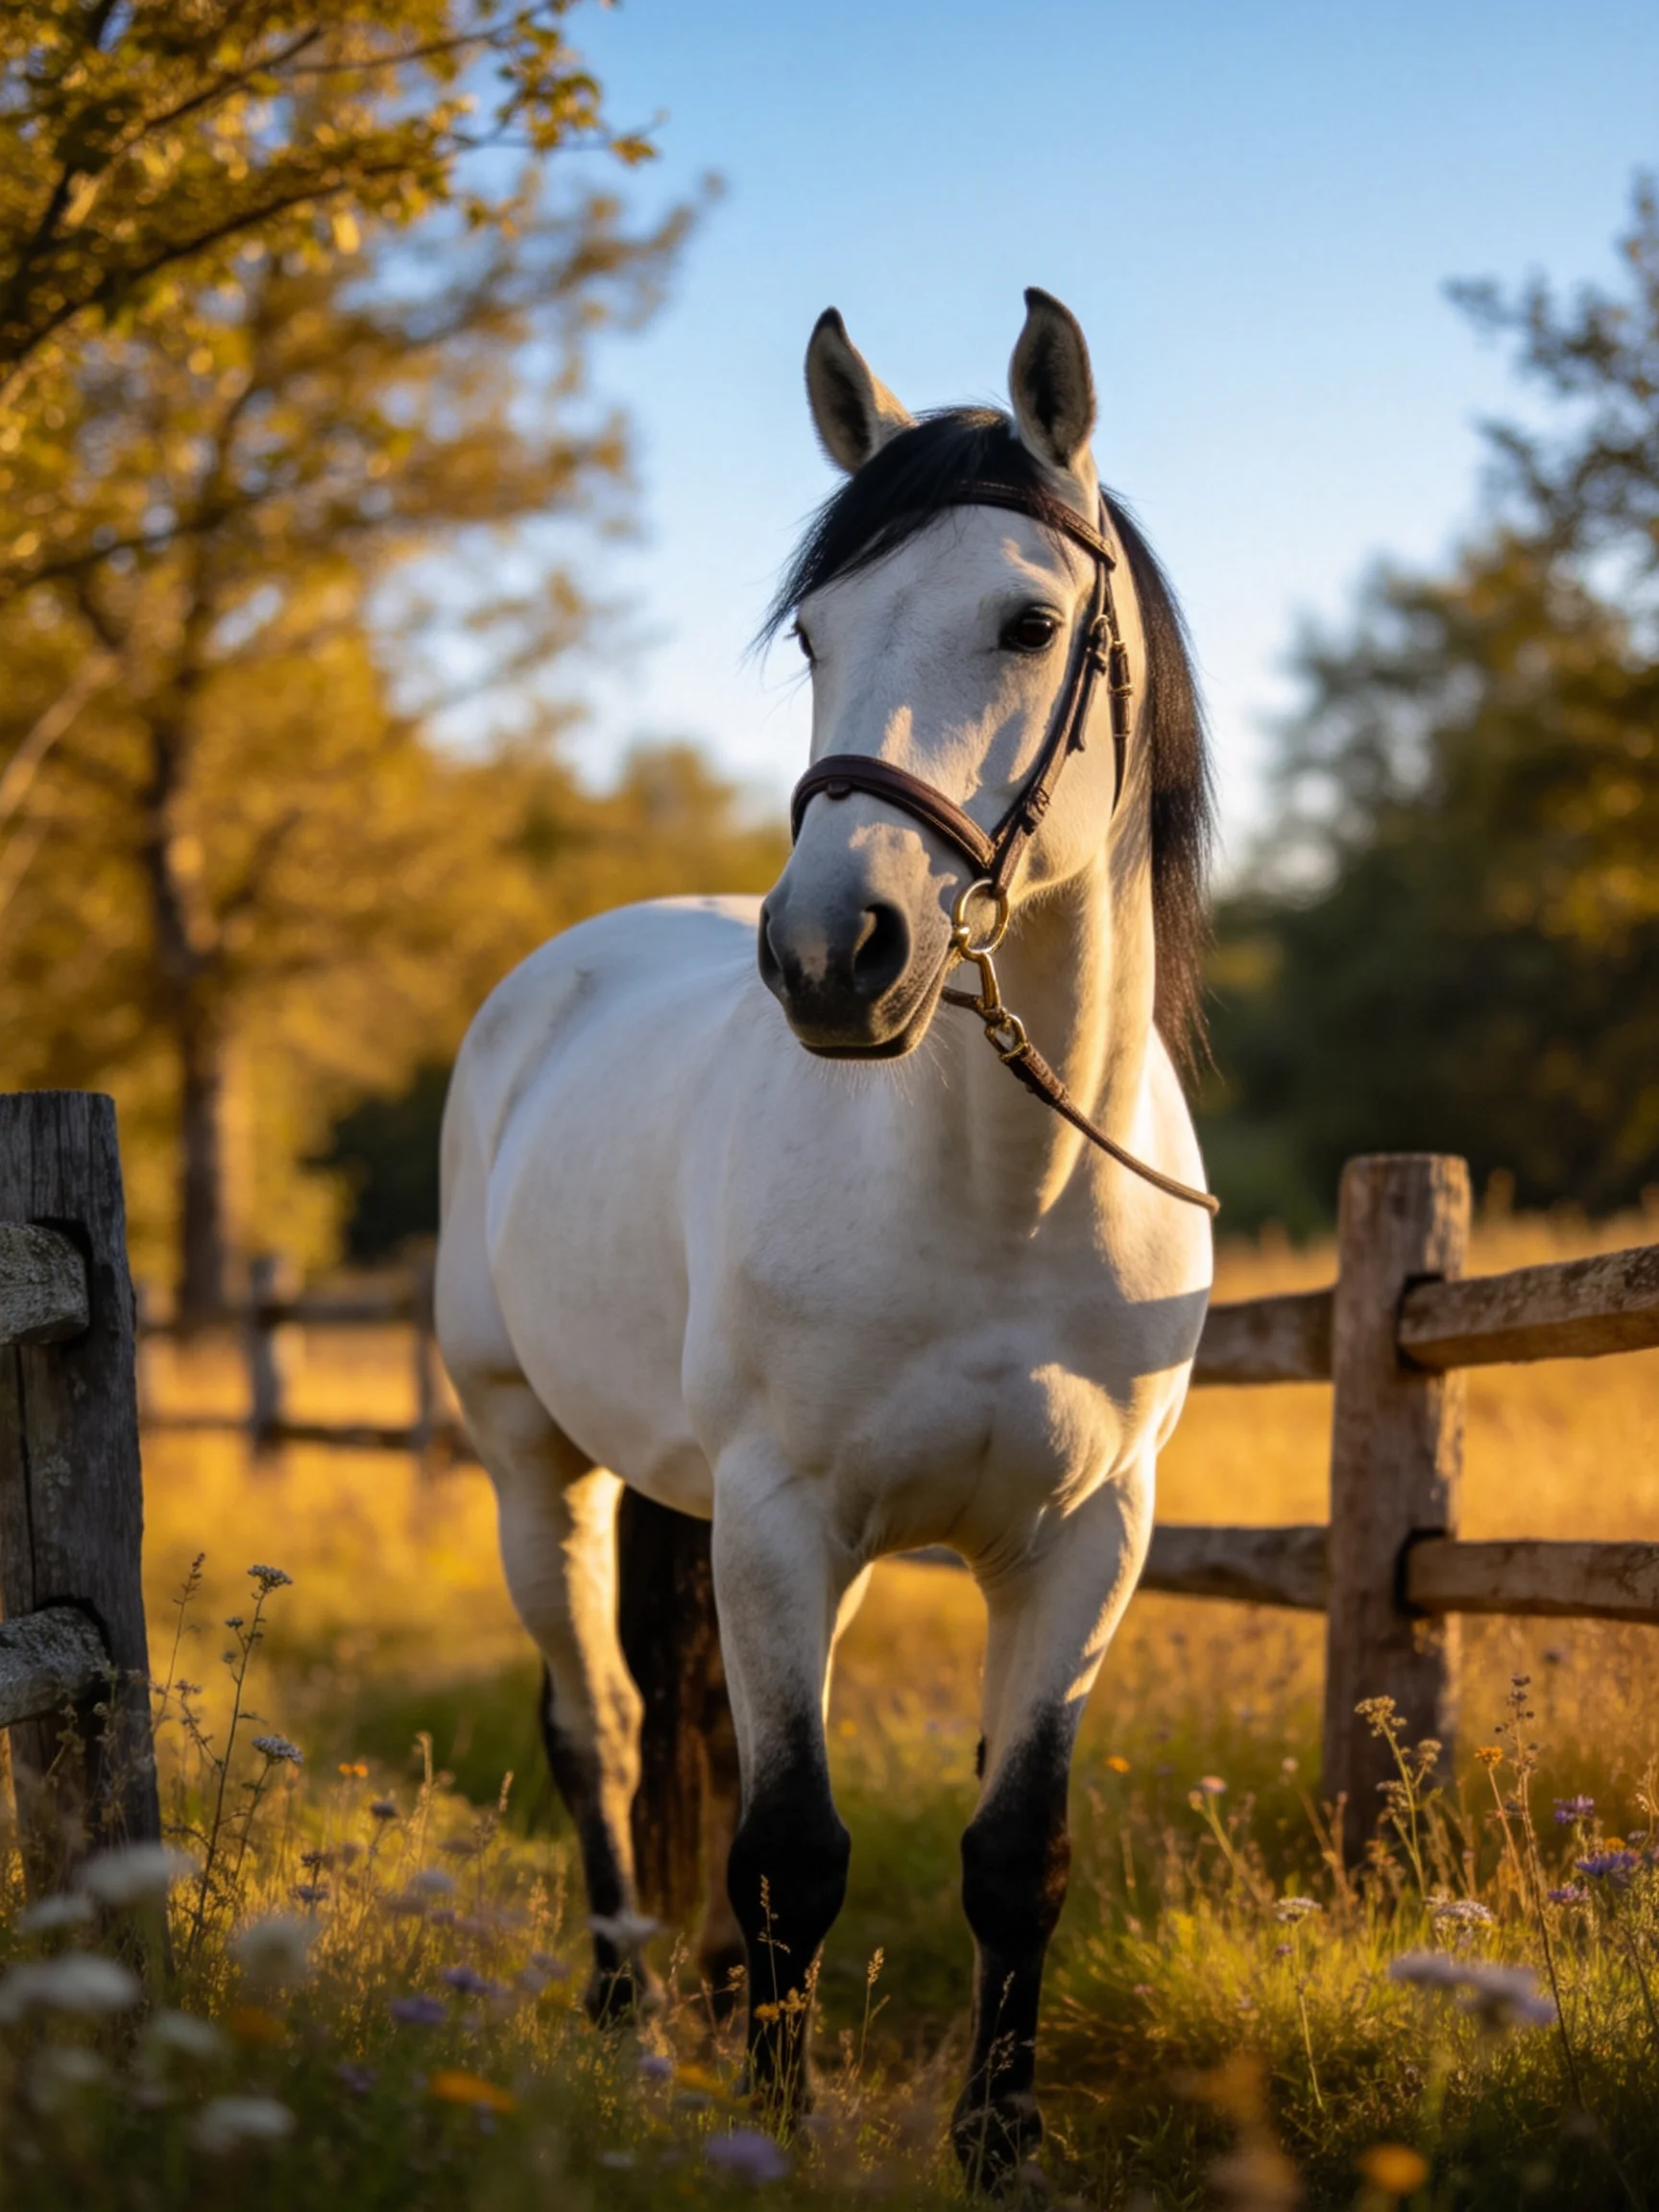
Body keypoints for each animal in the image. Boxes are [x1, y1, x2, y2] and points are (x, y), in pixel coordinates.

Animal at [434, 286, 1216, 2187]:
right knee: (602, 1729)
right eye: (812, 633)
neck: (1000, 1191)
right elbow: (792, 1846)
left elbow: (1016, 1854)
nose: (826, 956)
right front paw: (770, 2129)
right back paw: (631, 2016)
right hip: (532, 1457)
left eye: (1028, 621)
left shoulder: (1084, 1539)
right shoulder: (787, 1516)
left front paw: (998, 2142)